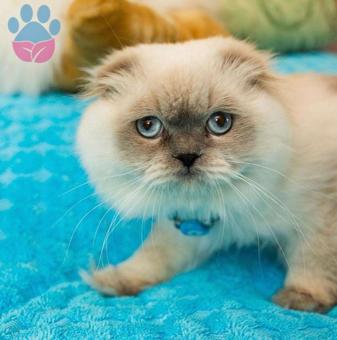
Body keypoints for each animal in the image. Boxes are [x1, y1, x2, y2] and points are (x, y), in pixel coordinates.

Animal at [77, 37, 337, 314]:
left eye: (220, 122)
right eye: (148, 127)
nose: (187, 156)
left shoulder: (319, 215)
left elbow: (313, 260)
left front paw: (299, 301)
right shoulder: (186, 231)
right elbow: (153, 257)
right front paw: (112, 281)